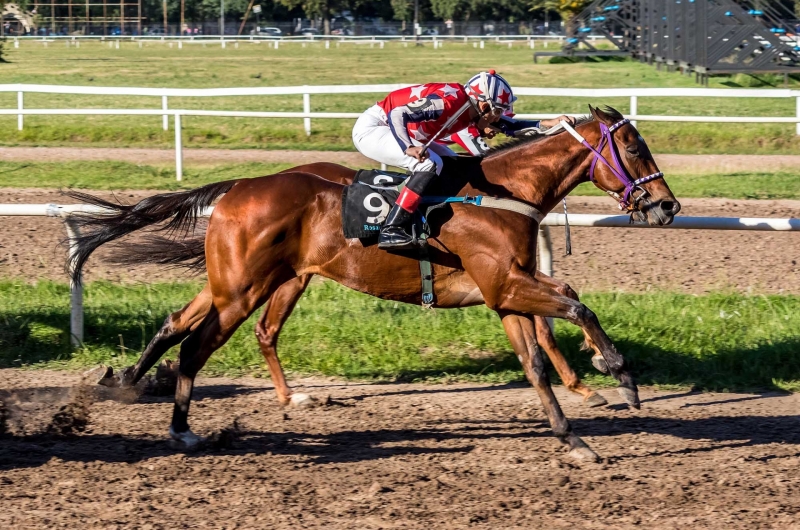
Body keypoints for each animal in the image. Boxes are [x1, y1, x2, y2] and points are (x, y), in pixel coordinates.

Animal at [70, 106, 680, 458]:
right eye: (633, 147)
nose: (667, 207)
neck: (500, 192)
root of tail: (239, 185)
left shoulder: (504, 293)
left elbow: (536, 358)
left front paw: (573, 436)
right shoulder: (505, 285)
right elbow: (575, 304)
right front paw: (617, 372)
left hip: (241, 282)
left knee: (179, 324)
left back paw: (131, 383)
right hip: (242, 289)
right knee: (197, 345)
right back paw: (183, 429)